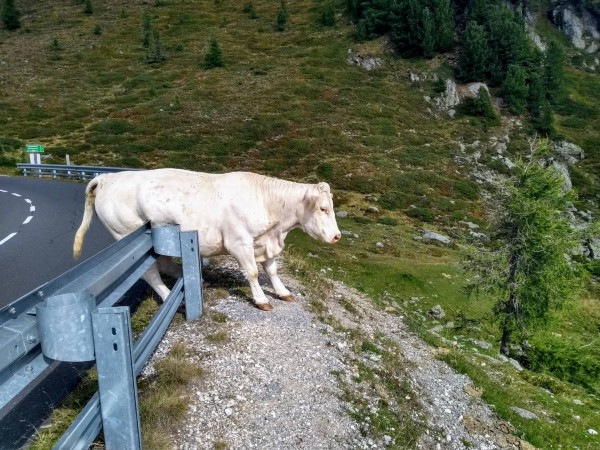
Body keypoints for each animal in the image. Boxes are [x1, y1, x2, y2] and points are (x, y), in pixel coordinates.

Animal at [72, 167, 340, 312]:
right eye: (323, 208)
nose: (337, 236)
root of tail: (107, 178)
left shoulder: (264, 242)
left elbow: (272, 270)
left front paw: (283, 292)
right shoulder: (239, 242)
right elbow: (253, 272)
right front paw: (262, 300)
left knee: (166, 264)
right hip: (128, 236)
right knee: (151, 273)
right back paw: (171, 296)